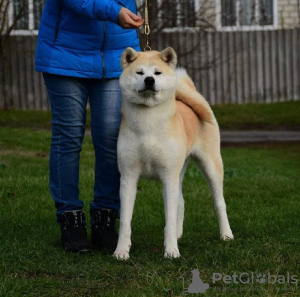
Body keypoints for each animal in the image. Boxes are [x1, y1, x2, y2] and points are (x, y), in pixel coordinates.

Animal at [113, 46, 233, 260]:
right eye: (140, 73)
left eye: (157, 73)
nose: (149, 80)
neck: (148, 125)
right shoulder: (128, 176)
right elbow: (125, 221)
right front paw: (121, 251)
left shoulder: (168, 176)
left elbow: (168, 219)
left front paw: (171, 251)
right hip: (178, 171)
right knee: (181, 202)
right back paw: (178, 234)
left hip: (210, 166)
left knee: (219, 203)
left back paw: (226, 235)